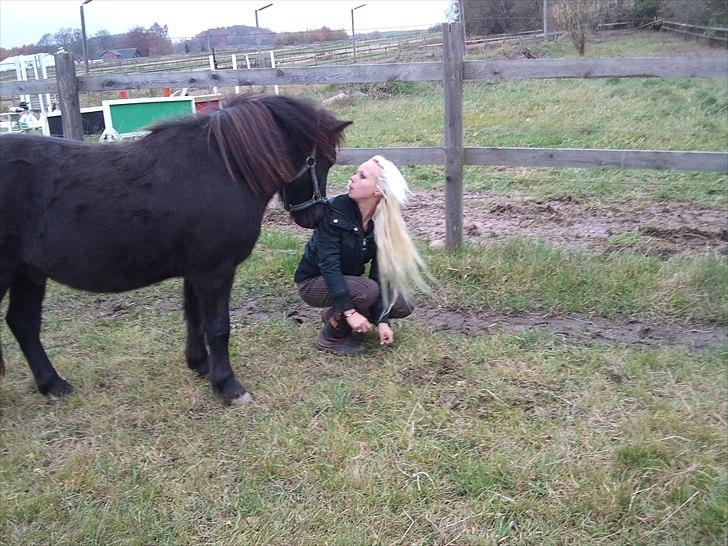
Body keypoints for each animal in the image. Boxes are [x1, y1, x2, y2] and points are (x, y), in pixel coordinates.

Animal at [0, 94, 351, 405]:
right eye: (325, 160)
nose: (314, 217)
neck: (222, 170)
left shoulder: (196, 271)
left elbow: (194, 318)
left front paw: (201, 365)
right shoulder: (214, 271)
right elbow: (218, 328)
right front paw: (228, 386)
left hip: (28, 273)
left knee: (23, 324)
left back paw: (53, 385)